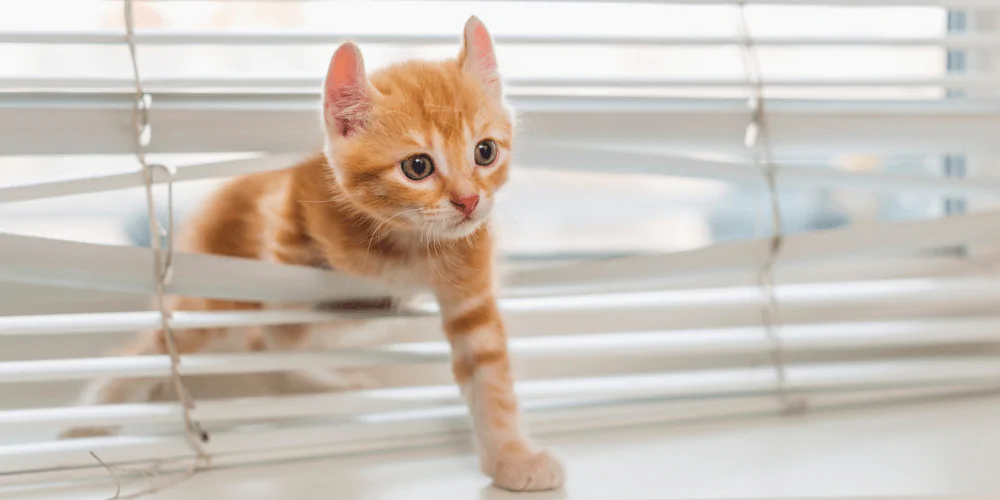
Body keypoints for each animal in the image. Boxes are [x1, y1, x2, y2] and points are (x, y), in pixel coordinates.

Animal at [60, 16, 564, 492]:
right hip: (218, 299)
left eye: (485, 152)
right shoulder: (289, 214)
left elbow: (489, 372)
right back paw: (88, 420)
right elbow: (285, 330)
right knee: (176, 343)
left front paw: (511, 457)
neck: (407, 240)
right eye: (418, 166)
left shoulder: (470, 282)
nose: (469, 201)